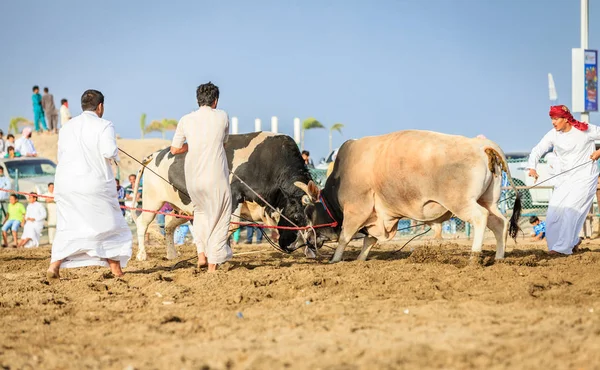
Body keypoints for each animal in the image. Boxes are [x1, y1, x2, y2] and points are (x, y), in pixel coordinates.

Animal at [132, 132, 314, 260]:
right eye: (295, 216)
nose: (291, 247)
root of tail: (156, 154)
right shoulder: (234, 197)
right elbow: (230, 227)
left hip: (183, 208)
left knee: (169, 224)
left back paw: (172, 254)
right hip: (152, 200)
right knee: (142, 223)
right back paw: (142, 254)